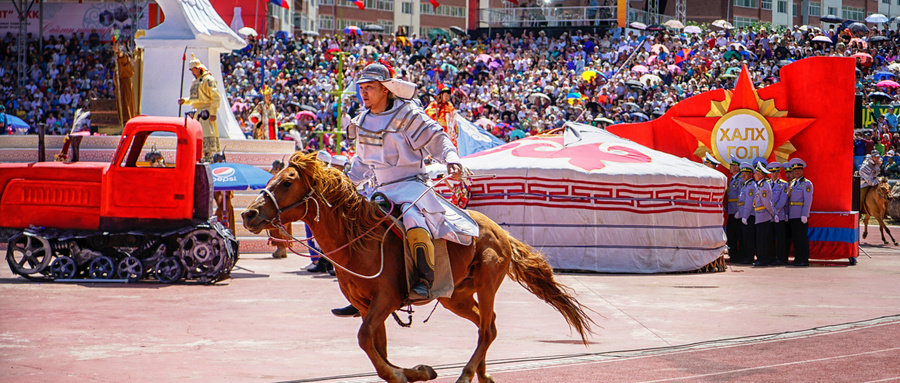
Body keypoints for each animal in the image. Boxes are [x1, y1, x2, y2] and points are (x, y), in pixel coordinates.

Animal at [243, 153, 596, 383]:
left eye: (287, 182)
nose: (249, 214)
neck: (359, 240)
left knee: (487, 329)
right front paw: (415, 372)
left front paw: (405, 374)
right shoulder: (367, 306)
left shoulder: (385, 299)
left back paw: (467, 374)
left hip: (486, 283)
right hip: (455, 296)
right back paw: (482, 375)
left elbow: (366, 340)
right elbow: (377, 347)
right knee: (487, 324)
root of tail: (499, 231)